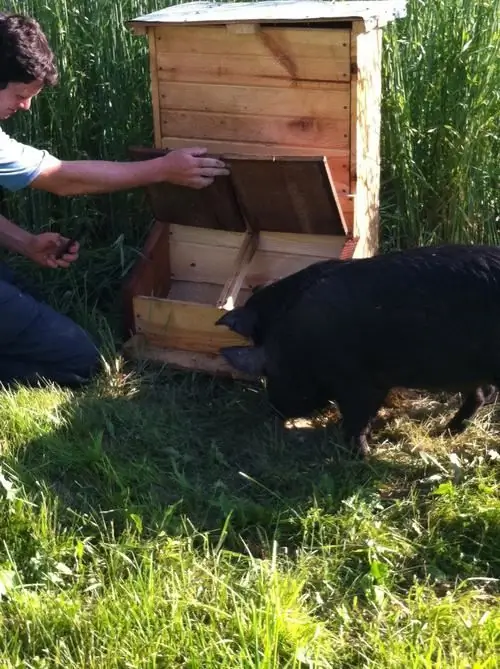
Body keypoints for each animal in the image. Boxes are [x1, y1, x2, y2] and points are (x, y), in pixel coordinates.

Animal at [217, 245, 500, 460]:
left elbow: (357, 420)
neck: (301, 340)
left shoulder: (361, 382)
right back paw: (445, 432)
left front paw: (360, 456)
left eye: (269, 371)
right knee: (482, 393)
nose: (275, 409)